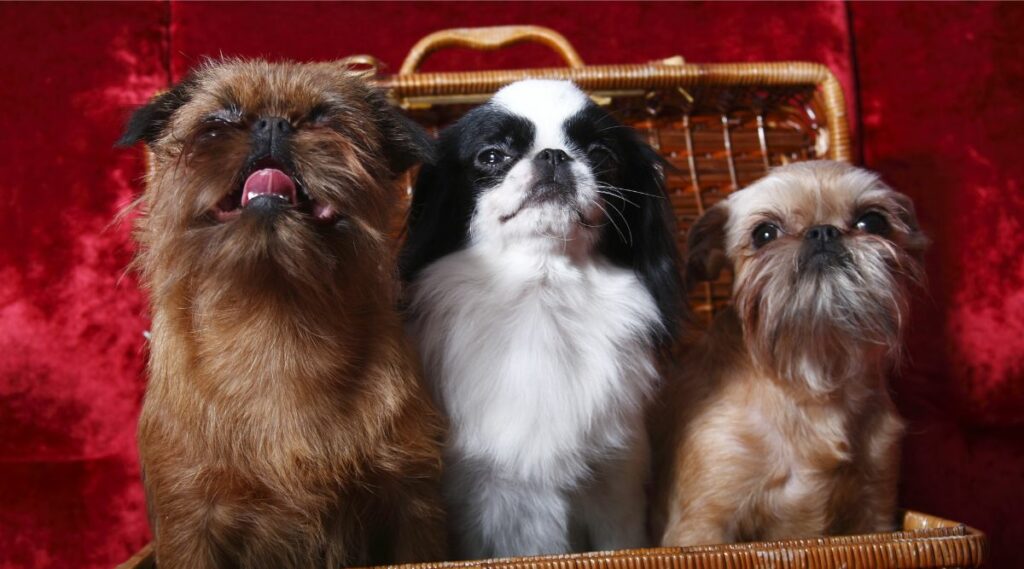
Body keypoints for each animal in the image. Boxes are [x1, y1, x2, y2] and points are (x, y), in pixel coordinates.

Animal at [117, 58, 444, 569]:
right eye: (218, 122)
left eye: (326, 119)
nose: (272, 124)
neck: (274, 319)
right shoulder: (189, 521)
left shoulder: (412, 506)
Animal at [399, 79, 679, 560]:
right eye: (492, 156)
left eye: (602, 156)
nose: (553, 155)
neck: (541, 292)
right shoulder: (475, 496)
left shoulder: (615, 482)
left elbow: (622, 541)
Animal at [655, 160, 929, 548]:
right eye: (764, 233)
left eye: (873, 222)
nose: (823, 232)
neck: (811, 373)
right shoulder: (702, 527)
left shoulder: (875, 516)